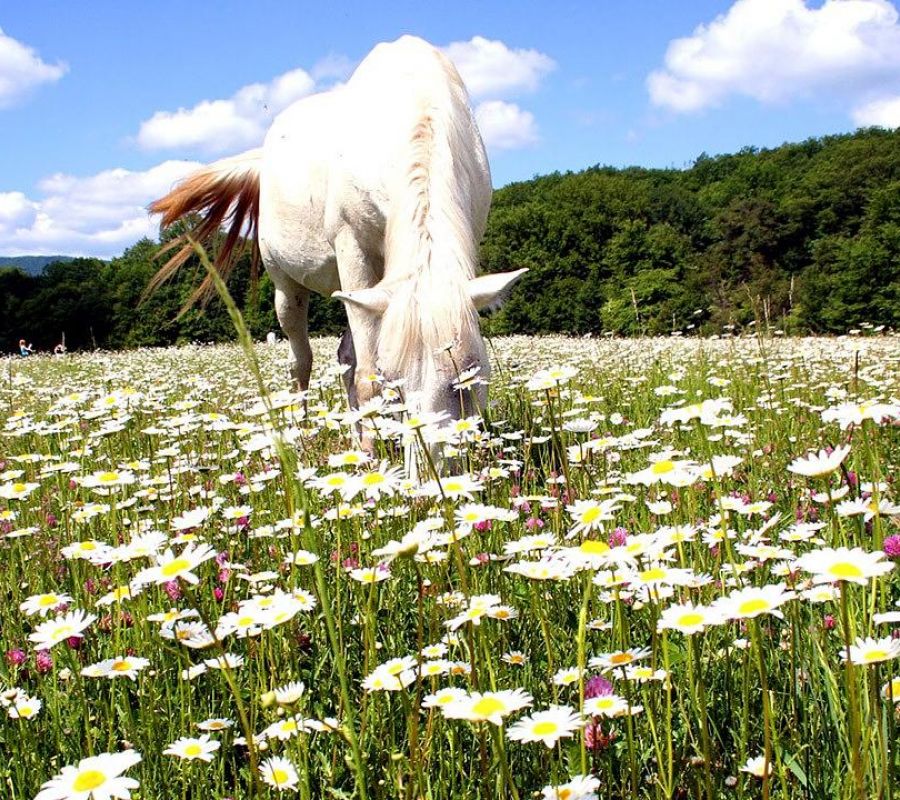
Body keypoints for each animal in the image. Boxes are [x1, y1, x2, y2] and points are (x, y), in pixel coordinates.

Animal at [149, 37, 528, 424]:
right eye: (395, 380)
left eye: (469, 375)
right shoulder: (354, 252)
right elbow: (367, 378)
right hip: (288, 285)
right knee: (301, 360)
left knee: (345, 355)